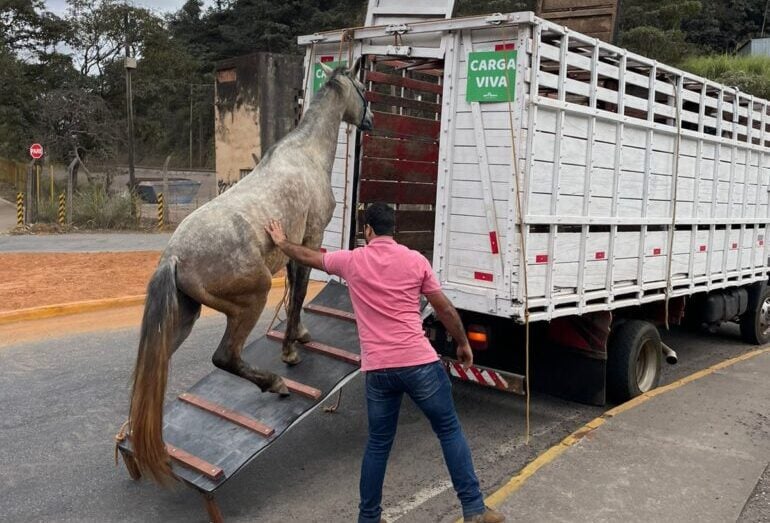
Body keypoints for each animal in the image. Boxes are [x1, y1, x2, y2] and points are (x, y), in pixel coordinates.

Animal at [127, 59, 372, 486]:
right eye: (363, 90)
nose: (371, 121)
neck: (305, 154)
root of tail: (174, 257)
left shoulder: (295, 248)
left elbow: (294, 294)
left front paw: (300, 335)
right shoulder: (310, 241)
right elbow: (299, 292)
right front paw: (291, 350)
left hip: (181, 321)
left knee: (152, 375)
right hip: (251, 300)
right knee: (225, 357)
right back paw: (275, 384)